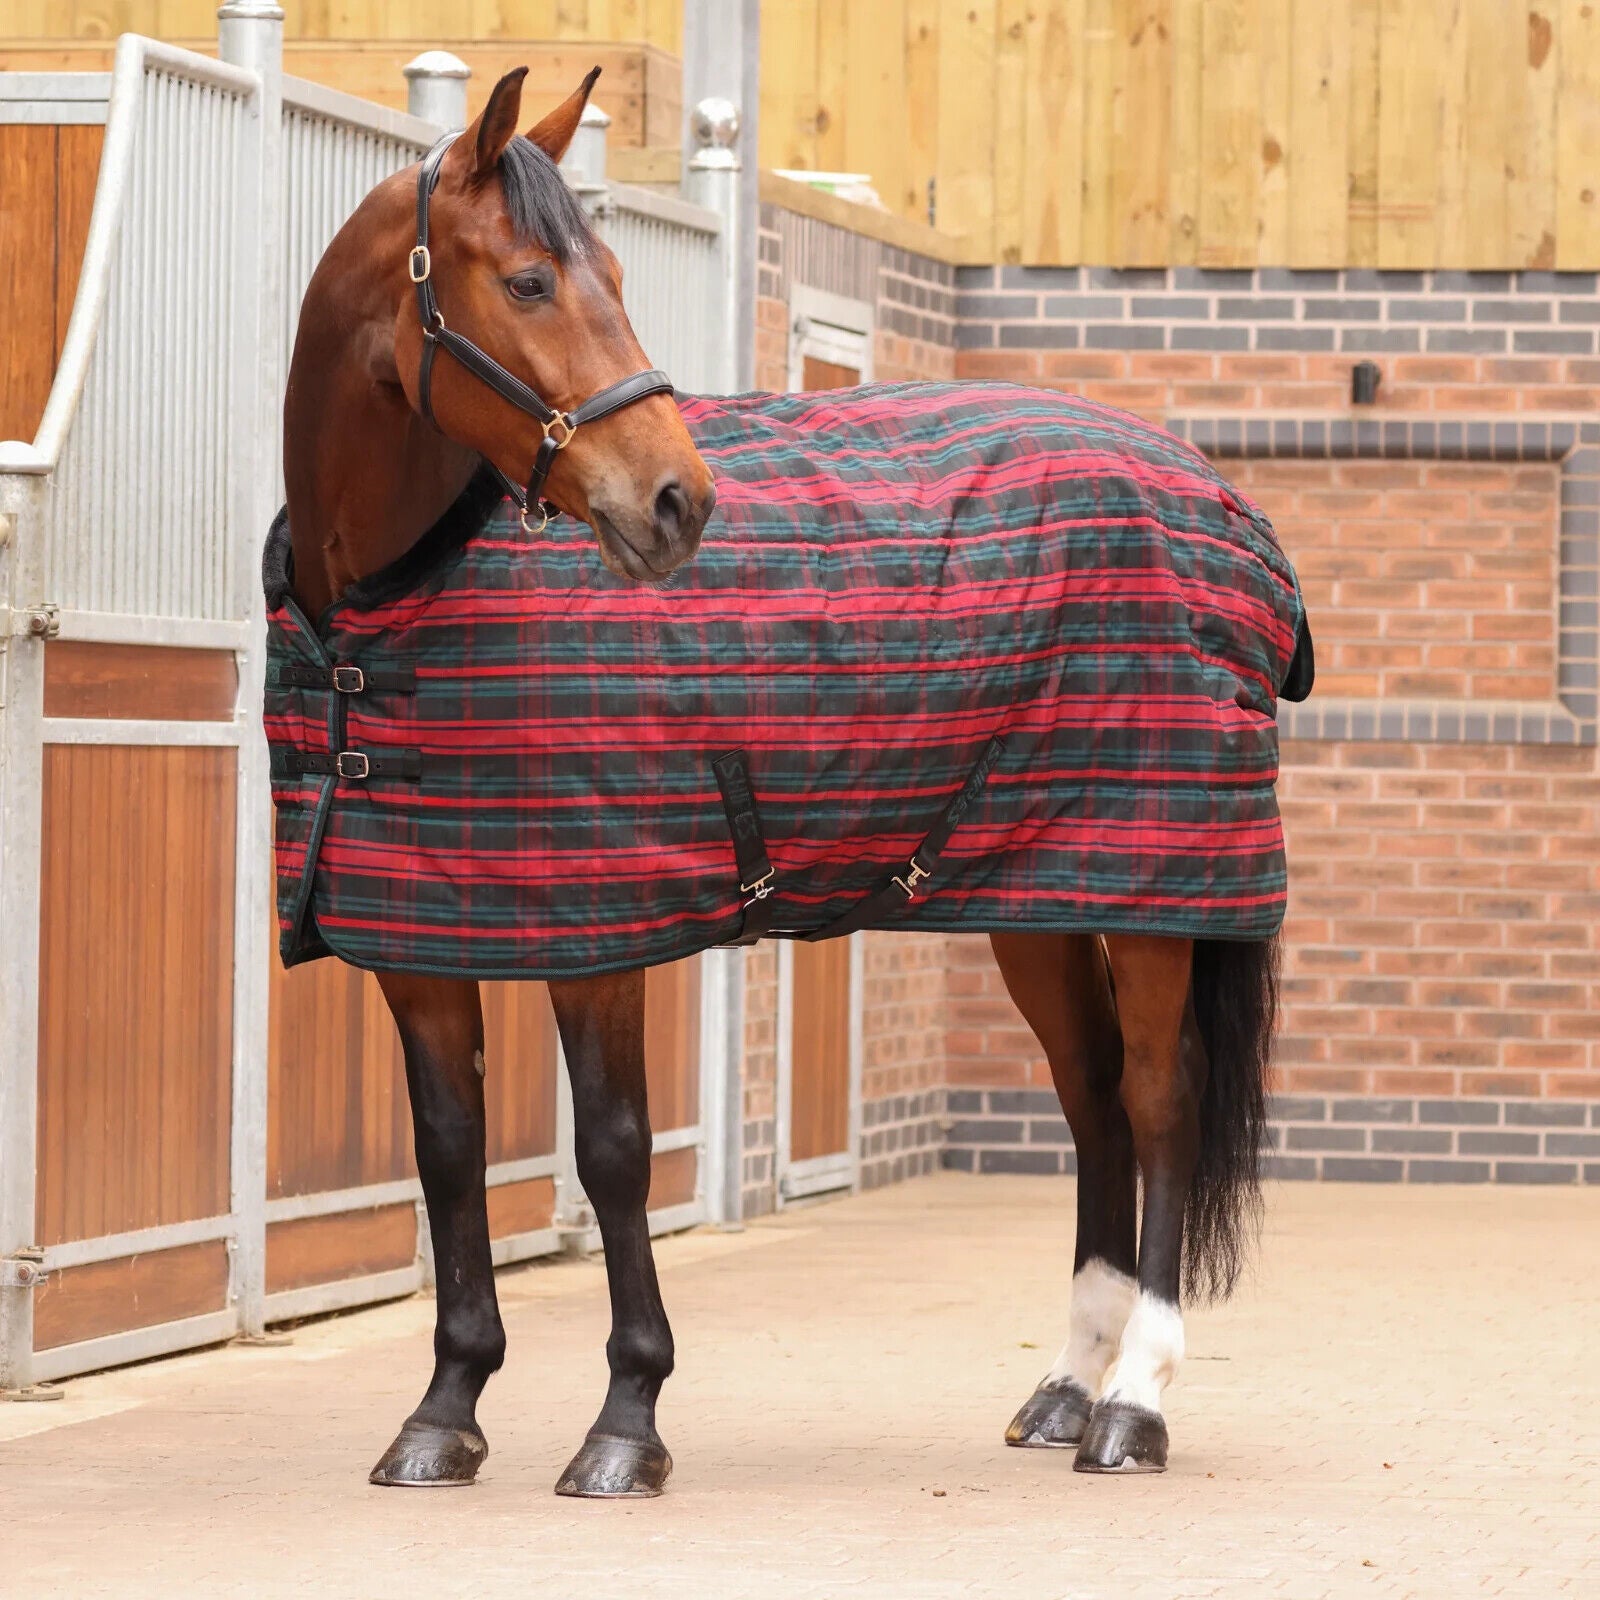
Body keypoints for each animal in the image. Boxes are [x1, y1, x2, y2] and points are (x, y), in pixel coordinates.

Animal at [278, 66, 1309, 1495]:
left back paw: (1132, 1405)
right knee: (1093, 1102)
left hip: (1155, 888)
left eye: (613, 272)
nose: (677, 501)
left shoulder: (600, 939)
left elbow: (612, 1152)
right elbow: (448, 1155)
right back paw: (1063, 1388)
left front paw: (626, 1422)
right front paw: (443, 1413)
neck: (385, 606)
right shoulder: (418, 940)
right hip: (1039, 901)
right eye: (530, 280)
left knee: (1158, 1101)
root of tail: (1219, 497)